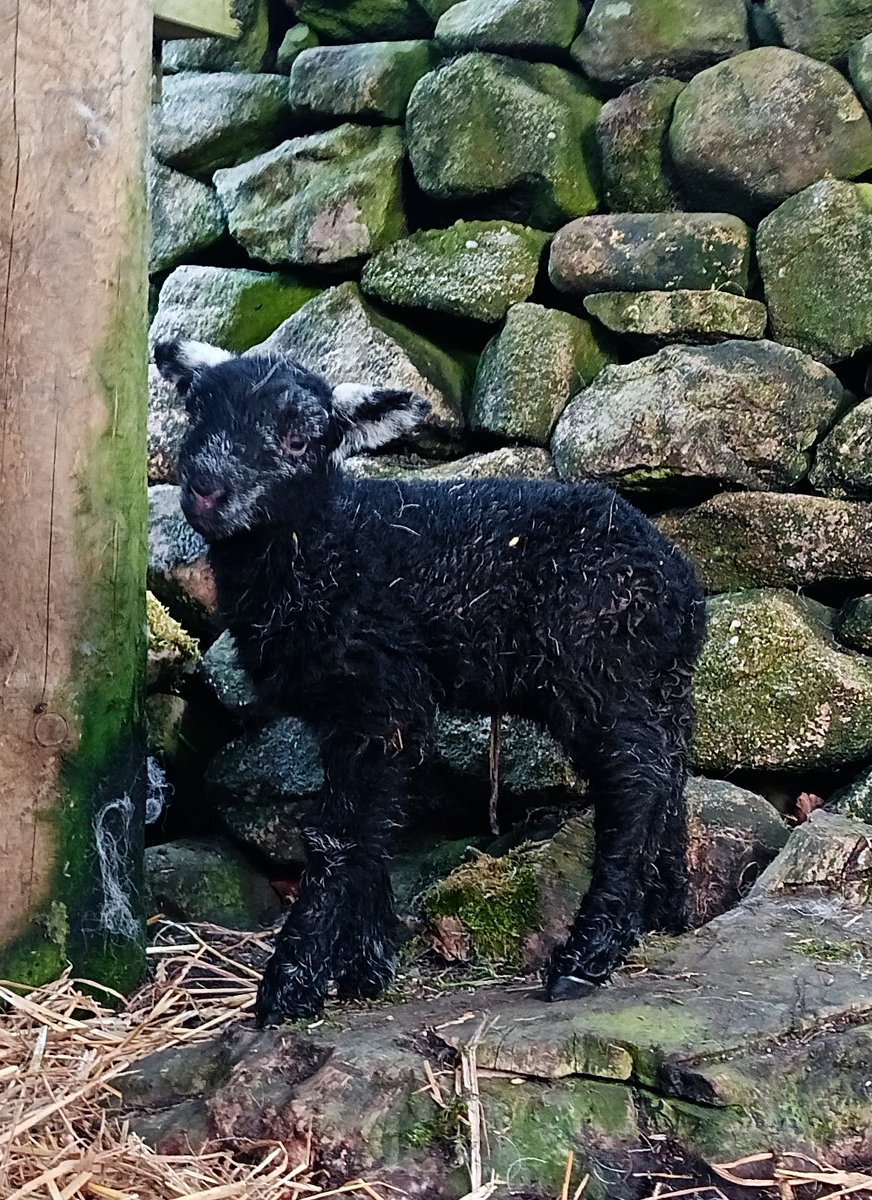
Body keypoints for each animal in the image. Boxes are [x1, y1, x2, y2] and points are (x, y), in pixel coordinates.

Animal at [155, 337, 707, 1026]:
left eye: (299, 439)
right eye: (195, 412)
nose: (205, 490)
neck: (331, 545)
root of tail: (682, 589)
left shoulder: (382, 693)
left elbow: (335, 834)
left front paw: (291, 986)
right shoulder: (361, 713)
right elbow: (372, 828)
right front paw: (366, 967)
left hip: (594, 671)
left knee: (637, 784)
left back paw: (585, 957)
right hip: (658, 684)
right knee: (672, 773)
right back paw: (666, 910)